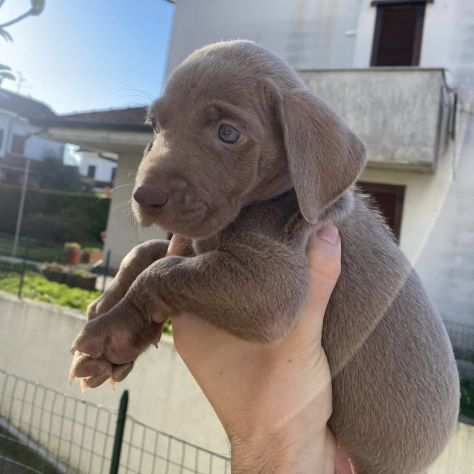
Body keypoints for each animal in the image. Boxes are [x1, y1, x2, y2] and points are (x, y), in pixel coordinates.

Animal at [70, 41, 460, 474]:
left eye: (228, 133)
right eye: (155, 126)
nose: (145, 197)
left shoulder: (274, 287)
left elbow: (162, 271)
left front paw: (111, 336)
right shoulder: (197, 243)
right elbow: (148, 252)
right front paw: (108, 302)